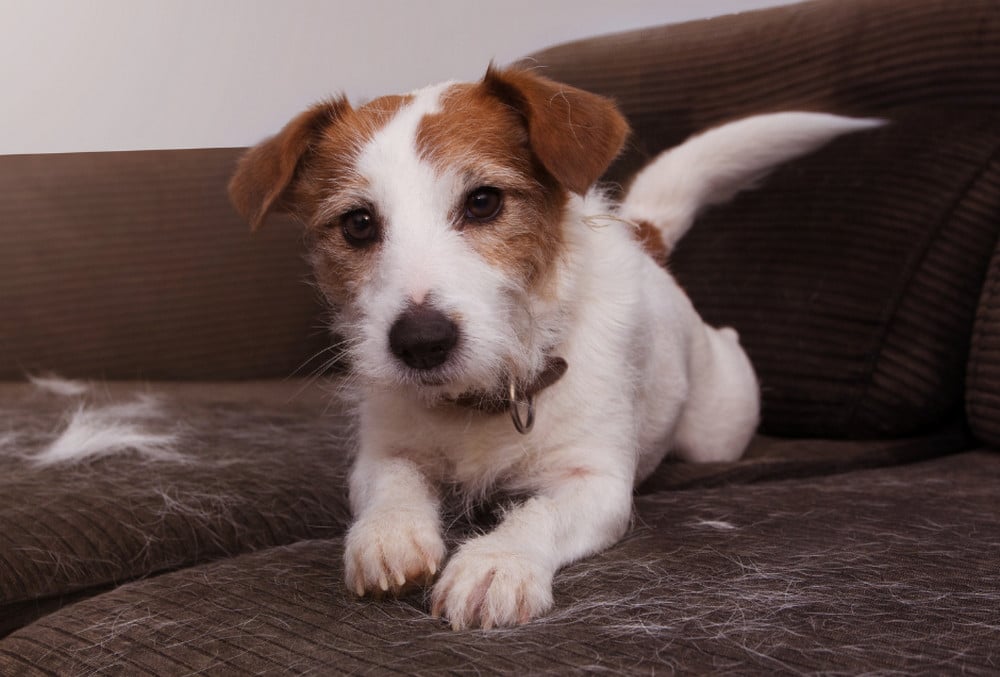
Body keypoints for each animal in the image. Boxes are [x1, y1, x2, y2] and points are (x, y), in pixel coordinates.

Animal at [229, 66, 884, 632]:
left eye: (484, 201)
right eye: (358, 224)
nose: (420, 342)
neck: (486, 396)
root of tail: (643, 238)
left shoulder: (597, 483)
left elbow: (539, 513)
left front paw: (496, 562)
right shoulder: (385, 452)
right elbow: (393, 484)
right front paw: (389, 534)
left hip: (717, 429)